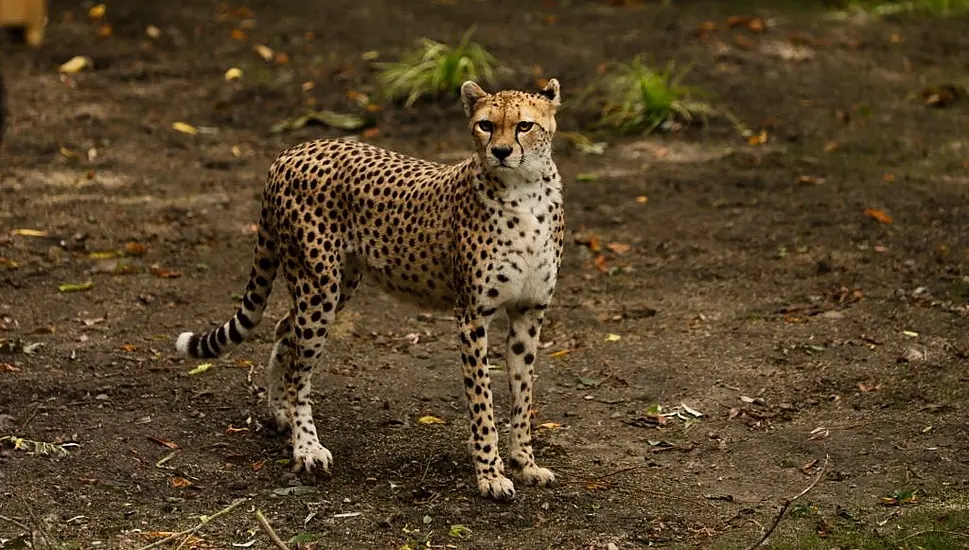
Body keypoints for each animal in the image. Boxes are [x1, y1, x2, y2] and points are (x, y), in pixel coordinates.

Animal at [175, 80, 568, 502]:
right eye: (485, 125)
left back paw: (281, 413)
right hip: (319, 285)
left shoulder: (529, 312)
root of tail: (294, 150)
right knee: (300, 366)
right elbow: (482, 401)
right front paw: (490, 473)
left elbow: (522, 396)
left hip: (337, 282)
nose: (501, 152)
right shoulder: (471, 316)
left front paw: (525, 464)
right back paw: (306, 446)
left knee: (285, 330)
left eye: (524, 125)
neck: (524, 192)